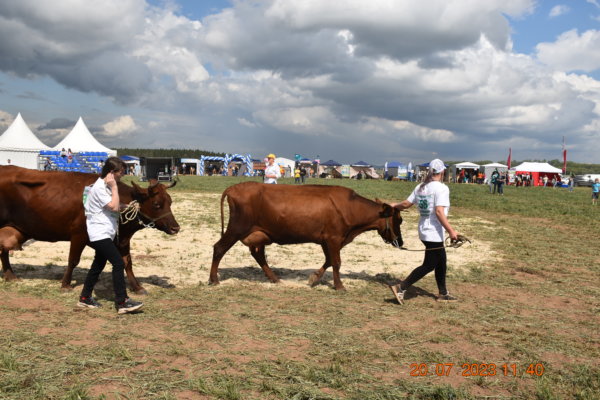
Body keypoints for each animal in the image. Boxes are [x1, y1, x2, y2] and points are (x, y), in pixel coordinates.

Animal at [0, 166, 179, 294]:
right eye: (156, 204)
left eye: (170, 202)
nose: (175, 227)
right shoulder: (79, 235)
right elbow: (73, 260)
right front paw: (65, 284)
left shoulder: (121, 239)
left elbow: (127, 262)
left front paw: (137, 287)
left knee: (4, 250)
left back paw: (10, 276)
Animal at [211, 182, 404, 290]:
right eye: (400, 220)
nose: (400, 242)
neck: (350, 207)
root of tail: (234, 187)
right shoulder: (334, 238)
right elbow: (336, 262)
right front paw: (339, 286)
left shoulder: (327, 240)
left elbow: (329, 261)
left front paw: (314, 279)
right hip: (237, 228)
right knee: (219, 248)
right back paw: (213, 280)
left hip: (258, 234)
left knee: (258, 255)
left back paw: (274, 278)